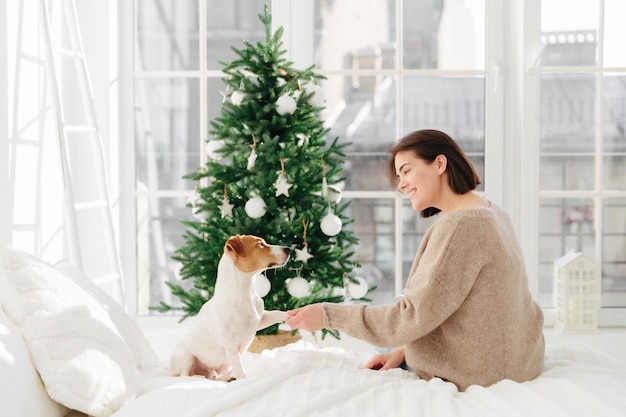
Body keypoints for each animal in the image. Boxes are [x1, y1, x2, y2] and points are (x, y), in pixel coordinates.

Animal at [168, 234, 290, 380]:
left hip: (224, 365)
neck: (245, 293)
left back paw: (224, 377)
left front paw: (289, 315)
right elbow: (240, 371)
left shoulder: (259, 320)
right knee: (184, 376)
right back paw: (198, 377)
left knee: (214, 377)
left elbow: (276, 313)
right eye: (260, 244)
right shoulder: (231, 347)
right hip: (186, 357)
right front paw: (245, 381)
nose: (289, 249)